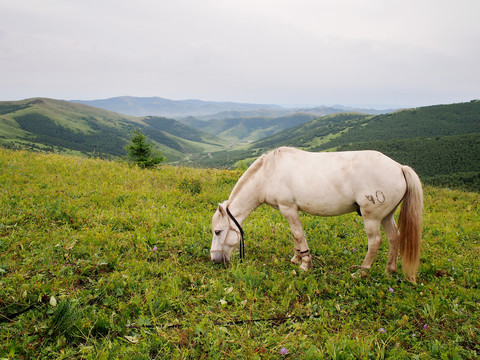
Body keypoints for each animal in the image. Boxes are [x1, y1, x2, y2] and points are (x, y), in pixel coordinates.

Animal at [211, 146, 424, 284]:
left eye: (218, 232)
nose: (214, 260)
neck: (267, 174)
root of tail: (399, 167)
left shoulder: (289, 208)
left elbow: (297, 234)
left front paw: (305, 264)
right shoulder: (289, 210)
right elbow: (295, 236)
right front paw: (297, 258)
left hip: (371, 217)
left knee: (375, 242)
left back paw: (362, 273)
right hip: (386, 216)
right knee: (394, 237)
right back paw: (389, 270)